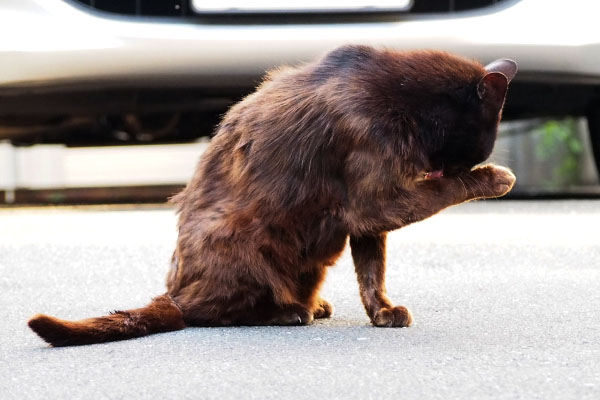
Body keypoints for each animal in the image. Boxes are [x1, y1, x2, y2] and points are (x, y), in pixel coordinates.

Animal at [27, 43, 516, 344]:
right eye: (467, 156)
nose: (444, 167)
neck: (398, 94)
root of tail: (173, 293)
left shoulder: (367, 215)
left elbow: (371, 271)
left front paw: (382, 312)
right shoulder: (376, 196)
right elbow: (439, 193)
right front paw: (498, 177)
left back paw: (313, 304)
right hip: (241, 237)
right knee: (204, 314)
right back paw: (287, 312)